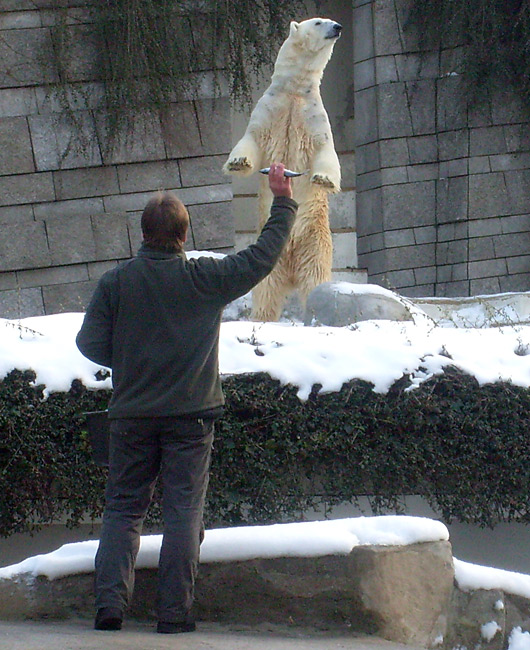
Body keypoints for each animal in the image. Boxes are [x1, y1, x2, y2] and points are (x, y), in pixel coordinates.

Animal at [223, 19, 342, 322]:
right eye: (318, 22)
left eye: (328, 20)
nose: (337, 26)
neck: (295, 90)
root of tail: (289, 269)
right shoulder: (270, 107)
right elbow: (252, 139)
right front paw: (237, 162)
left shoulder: (313, 114)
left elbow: (325, 149)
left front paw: (323, 179)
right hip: (269, 255)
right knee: (265, 289)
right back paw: (262, 318)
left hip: (315, 243)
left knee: (314, 281)